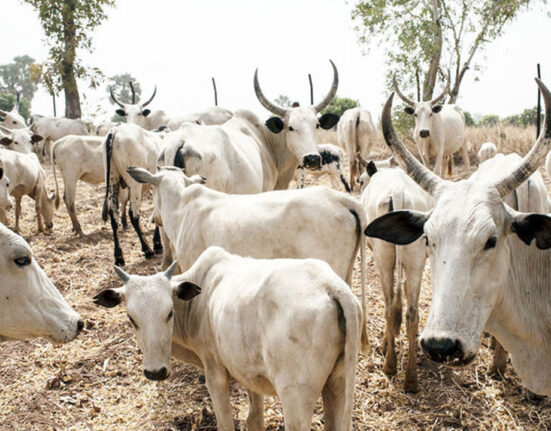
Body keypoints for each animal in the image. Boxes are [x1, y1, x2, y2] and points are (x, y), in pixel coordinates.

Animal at [95, 246, 362, 431]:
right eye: (131, 318)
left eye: (169, 313)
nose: (155, 372)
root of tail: (330, 285)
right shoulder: (251, 375)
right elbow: (254, 420)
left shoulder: (215, 374)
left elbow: (225, 423)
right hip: (338, 385)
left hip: (295, 397)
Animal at [101, 123, 166, 266]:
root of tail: (115, 130)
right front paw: (157, 244)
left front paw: (157, 243)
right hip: (134, 184)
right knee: (133, 215)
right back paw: (147, 250)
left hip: (112, 180)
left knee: (113, 216)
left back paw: (119, 256)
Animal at [360, 160, 434, 394]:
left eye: (360, 181)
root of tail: (398, 193)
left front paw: (385, 344)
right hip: (416, 259)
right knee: (411, 313)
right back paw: (411, 379)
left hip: (383, 256)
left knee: (389, 306)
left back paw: (390, 365)